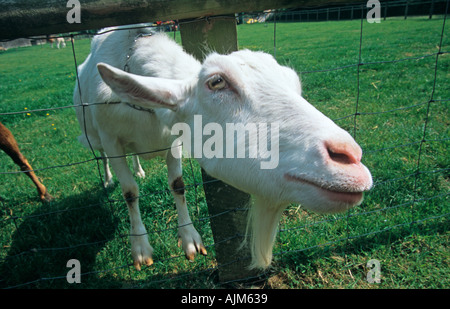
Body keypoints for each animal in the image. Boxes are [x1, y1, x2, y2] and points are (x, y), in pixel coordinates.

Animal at [72, 28, 370, 270]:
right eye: (217, 82)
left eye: (294, 84)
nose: (350, 159)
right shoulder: (111, 139)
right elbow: (130, 192)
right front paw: (141, 247)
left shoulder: (175, 140)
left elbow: (177, 184)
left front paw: (189, 239)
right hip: (95, 138)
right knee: (104, 160)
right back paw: (108, 179)